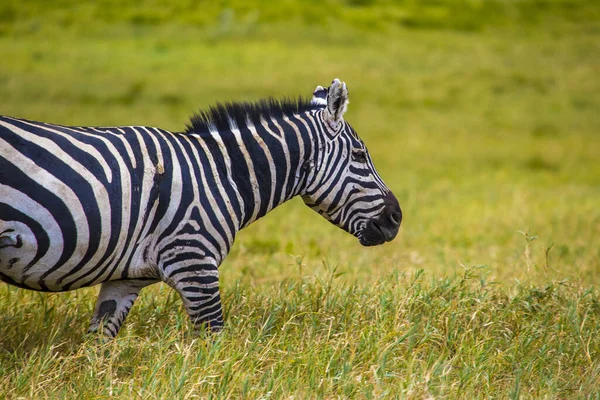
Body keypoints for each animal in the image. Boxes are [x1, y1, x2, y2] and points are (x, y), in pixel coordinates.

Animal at [1, 79, 404, 338]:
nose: (397, 218)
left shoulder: (124, 279)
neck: (221, 174)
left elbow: (98, 345)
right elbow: (213, 344)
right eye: (360, 155)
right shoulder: (194, 263)